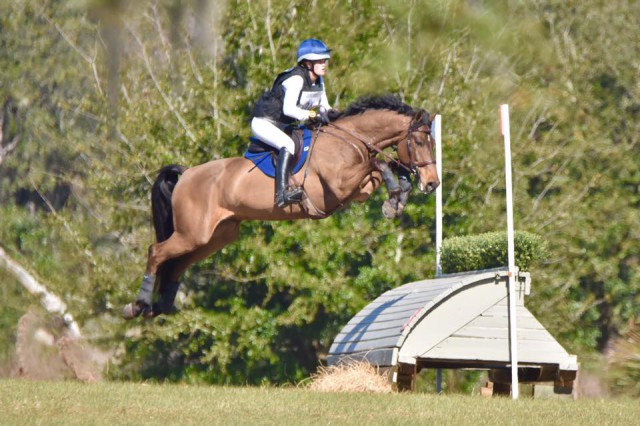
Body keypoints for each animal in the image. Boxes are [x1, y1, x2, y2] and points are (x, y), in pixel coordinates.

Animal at [122, 95, 438, 320]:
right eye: (419, 141)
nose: (433, 183)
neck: (349, 139)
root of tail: (187, 173)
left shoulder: (356, 191)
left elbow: (385, 167)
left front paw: (397, 198)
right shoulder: (338, 186)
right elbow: (379, 164)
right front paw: (394, 196)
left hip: (214, 237)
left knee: (176, 265)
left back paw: (156, 307)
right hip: (192, 233)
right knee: (156, 252)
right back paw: (138, 304)